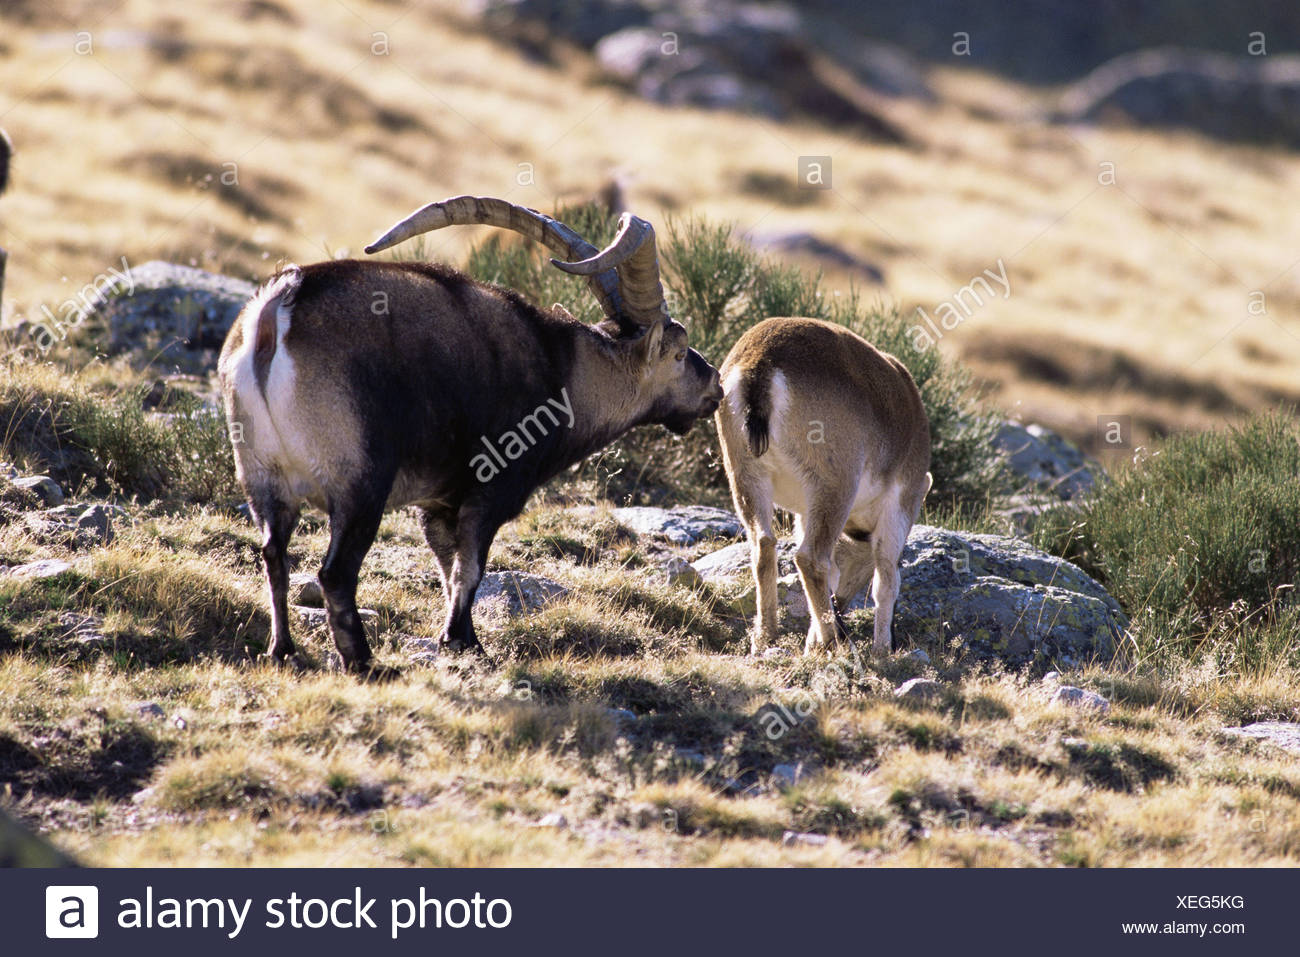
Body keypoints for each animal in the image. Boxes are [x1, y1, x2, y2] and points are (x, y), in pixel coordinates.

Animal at [218, 196, 722, 673]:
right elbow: (470, 570)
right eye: (679, 353)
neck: (566, 371)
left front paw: (458, 637)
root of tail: (277, 311)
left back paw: (282, 651)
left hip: (261, 477)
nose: (715, 385)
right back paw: (364, 662)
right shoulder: (490, 490)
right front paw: (464, 642)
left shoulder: (437, 502)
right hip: (359, 483)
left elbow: (447, 567)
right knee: (336, 573)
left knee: (274, 554)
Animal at [715, 317, 931, 656]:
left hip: (746, 477)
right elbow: (886, 581)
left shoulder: (805, 512)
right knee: (810, 559)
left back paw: (765, 637)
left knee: (763, 545)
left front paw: (811, 643)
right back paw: (834, 643)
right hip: (836, 486)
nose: (841, 606)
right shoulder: (900, 504)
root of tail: (760, 363)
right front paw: (882, 650)